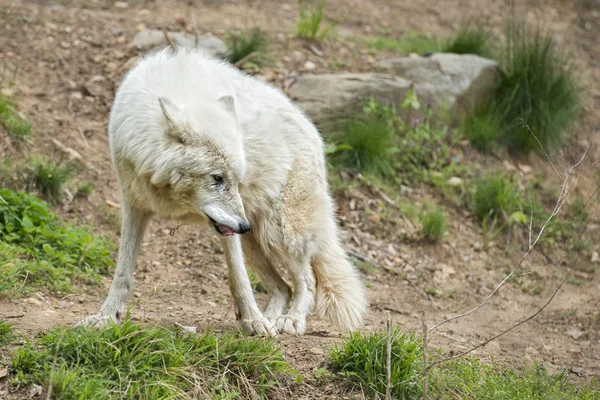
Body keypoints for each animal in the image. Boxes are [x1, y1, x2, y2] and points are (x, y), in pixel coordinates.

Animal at [75, 48, 366, 336]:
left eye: (237, 180)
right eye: (217, 178)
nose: (244, 225)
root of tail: (313, 131)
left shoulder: (230, 231)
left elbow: (238, 277)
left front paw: (253, 321)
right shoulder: (134, 206)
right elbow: (123, 272)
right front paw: (105, 317)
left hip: (279, 233)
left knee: (306, 279)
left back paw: (290, 321)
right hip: (255, 241)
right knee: (283, 287)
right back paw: (271, 318)